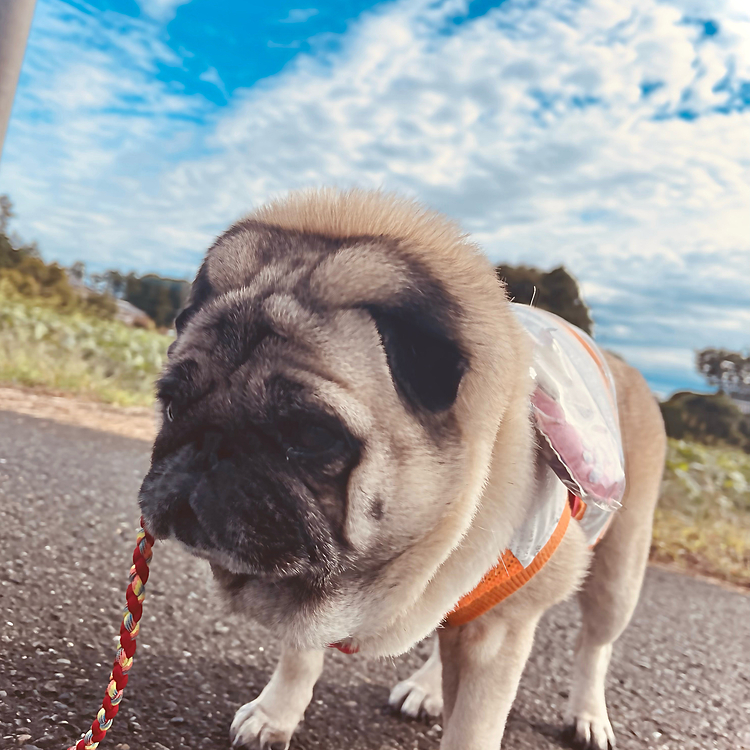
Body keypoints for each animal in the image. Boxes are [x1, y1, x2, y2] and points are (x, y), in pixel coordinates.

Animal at [138, 189, 668, 750]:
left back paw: (589, 715)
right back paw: (428, 686)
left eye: (311, 436)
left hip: (618, 575)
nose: (209, 445)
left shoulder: (498, 632)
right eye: (171, 405)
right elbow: (300, 658)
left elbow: (473, 728)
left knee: (594, 646)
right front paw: (276, 714)